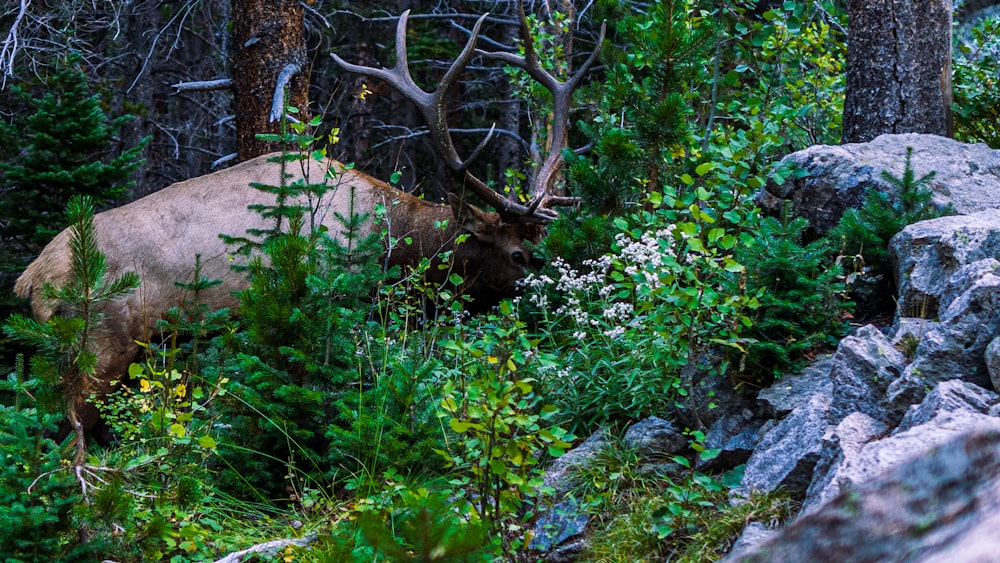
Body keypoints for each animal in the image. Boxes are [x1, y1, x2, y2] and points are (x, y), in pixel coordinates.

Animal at [11, 5, 604, 450]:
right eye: (518, 255)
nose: (556, 301)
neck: (392, 247)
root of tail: (31, 279)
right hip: (103, 339)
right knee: (72, 431)